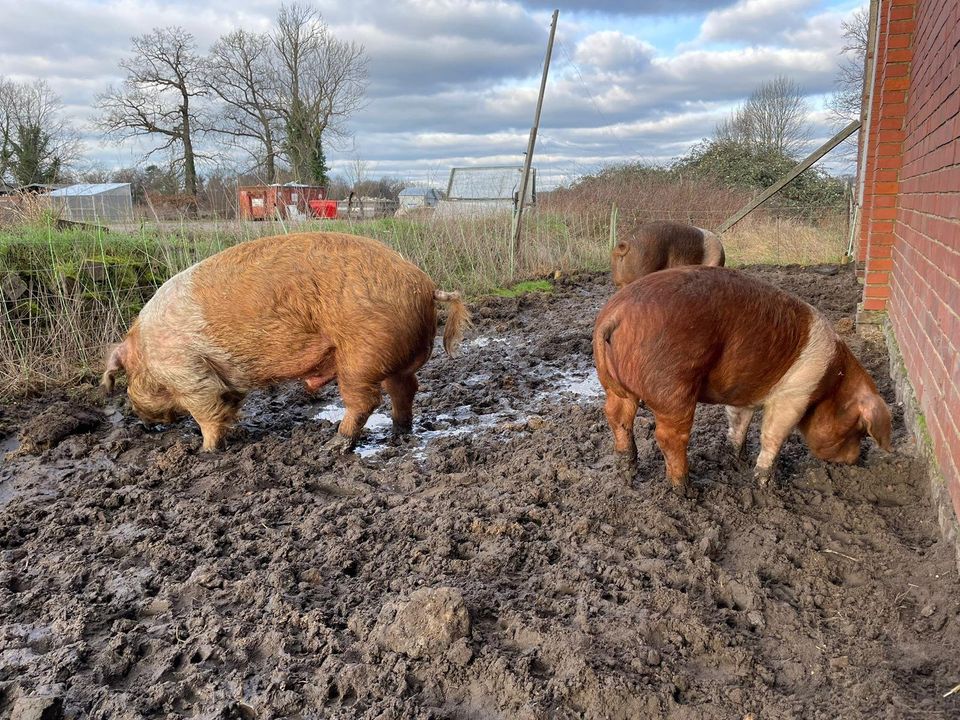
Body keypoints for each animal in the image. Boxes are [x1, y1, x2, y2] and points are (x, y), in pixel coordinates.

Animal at [102, 233, 472, 452]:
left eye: (127, 380)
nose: (142, 422)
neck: (147, 355)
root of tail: (426, 286)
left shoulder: (187, 372)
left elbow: (206, 411)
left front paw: (204, 451)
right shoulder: (225, 379)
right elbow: (227, 405)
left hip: (361, 355)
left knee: (366, 400)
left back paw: (334, 444)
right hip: (394, 357)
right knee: (405, 389)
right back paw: (398, 432)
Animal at [592, 268, 892, 498]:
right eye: (860, 430)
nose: (855, 460)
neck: (830, 380)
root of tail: (616, 315)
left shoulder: (742, 395)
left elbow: (738, 425)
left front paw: (739, 462)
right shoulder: (793, 395)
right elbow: (773, 435)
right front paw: (766, 487)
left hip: (615, 388)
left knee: (617, 417)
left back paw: (627, 474)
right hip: (673, 387)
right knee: (669, 438)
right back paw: (688, 491)